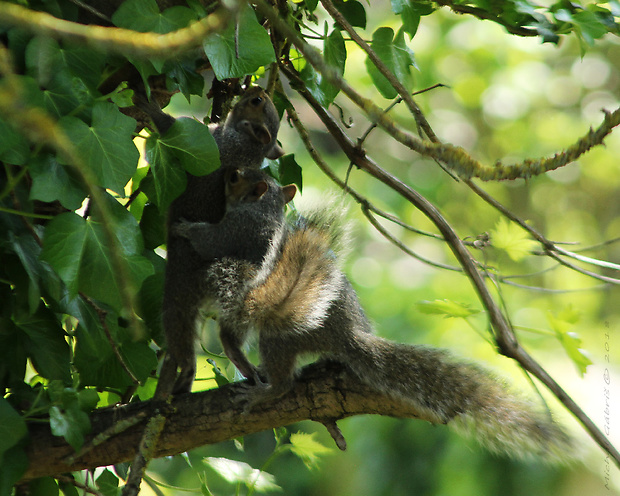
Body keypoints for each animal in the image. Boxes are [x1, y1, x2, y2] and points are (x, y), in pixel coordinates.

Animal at [162, 87, 284, 394]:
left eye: (256, 102)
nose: (257, 88)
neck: (249, 147)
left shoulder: (214, 139)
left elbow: (172, 128)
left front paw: (143, 103)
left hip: (177, 292)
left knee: (180, 330)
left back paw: (186, 373)